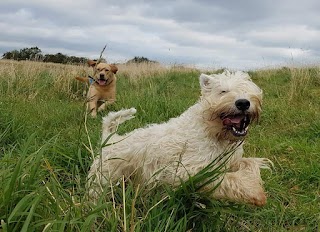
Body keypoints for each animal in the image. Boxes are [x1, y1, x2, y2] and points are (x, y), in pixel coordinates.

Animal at [88, 70, 272, 207]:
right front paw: (255, 194)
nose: (243, 103)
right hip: (103, 179)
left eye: (249, 90)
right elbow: (228, 180)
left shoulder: (230, 161)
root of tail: (110, 138)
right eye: (223, 91)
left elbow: (249, 164)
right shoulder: (186, 171)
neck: (211, 131)